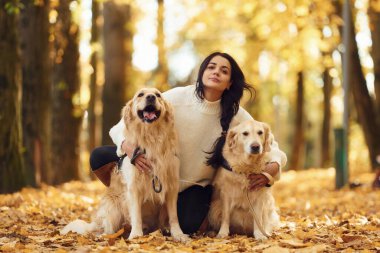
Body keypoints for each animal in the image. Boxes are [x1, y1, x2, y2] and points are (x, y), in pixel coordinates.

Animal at [60, 88, 189, 242]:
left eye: (158, 95)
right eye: (140, 94)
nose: (151, 97)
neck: (151, 138)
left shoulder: (171, 186)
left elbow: (174, 216)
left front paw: (178, 234)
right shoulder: (133, 187)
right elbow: (136, 215)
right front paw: (136, 235)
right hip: (113, 208)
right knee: (106, 228)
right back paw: (107, 236)